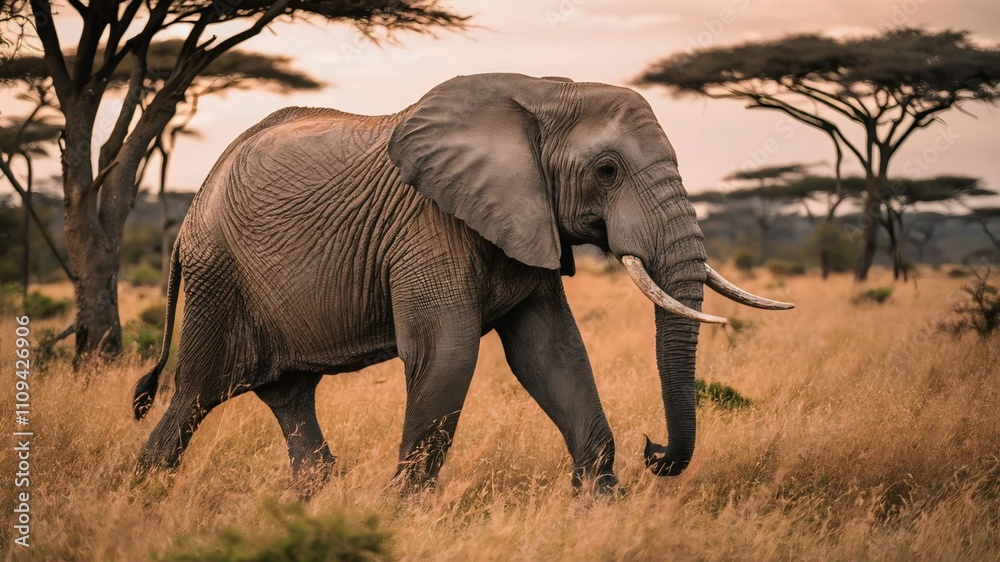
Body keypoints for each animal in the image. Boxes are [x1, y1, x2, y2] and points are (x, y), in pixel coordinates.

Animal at [132, 73, 792, 493]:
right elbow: (446, 355)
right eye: (607, 171)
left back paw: (311, 500)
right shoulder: (429, 225)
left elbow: (551, 354)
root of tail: (192, 208)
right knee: (193, 396)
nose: (654, 449)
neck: (543, 94)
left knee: (289, 397)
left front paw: (599, 504)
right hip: (218, 277)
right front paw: (398, 514)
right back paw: (142, 498)